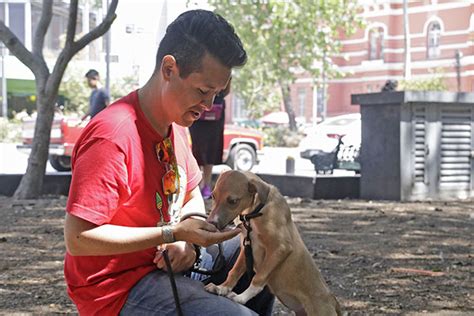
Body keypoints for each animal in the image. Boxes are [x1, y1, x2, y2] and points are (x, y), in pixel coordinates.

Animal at [204, 170, 340, 316]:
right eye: (213, 196)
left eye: (233, 201)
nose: (211, 223)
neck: (255, 212)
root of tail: (333, 300)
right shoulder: (246, 248)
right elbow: (234, 272)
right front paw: (222, 288)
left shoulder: (280, 248)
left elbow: (258, 279)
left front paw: (241, 298)